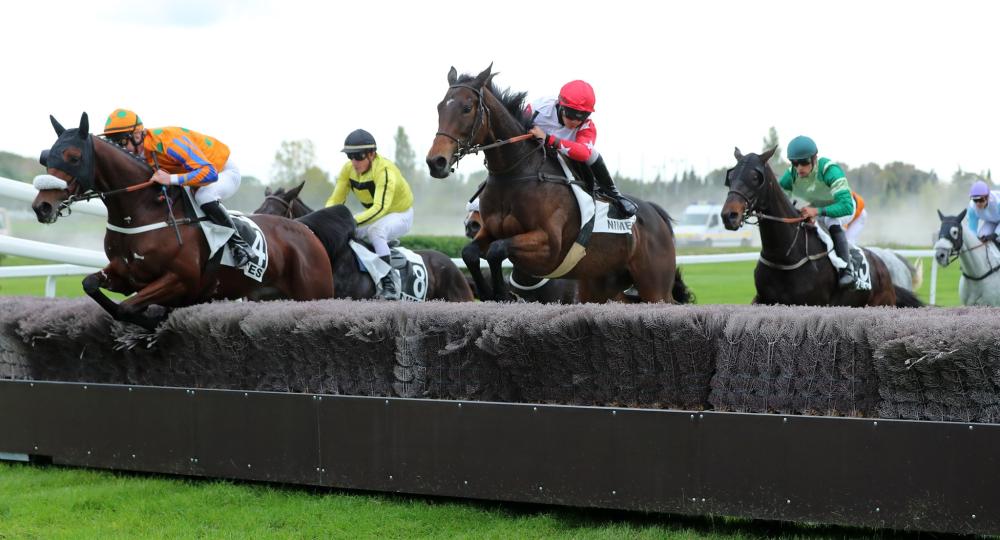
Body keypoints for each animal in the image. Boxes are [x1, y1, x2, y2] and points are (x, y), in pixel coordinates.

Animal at [32, 114, 336, 330]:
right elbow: (90, 284)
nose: (41, 207)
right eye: (47, 157)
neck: (143, 209)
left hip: (314, 293)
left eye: (74, 157)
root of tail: (306, 229)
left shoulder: (181, 279)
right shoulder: (126, 274)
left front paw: (152, 322)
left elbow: (126, 308)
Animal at [422, 64, 688, 304]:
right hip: (601, 286)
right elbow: (469, 252)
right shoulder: (489, 231)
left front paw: (501, 292)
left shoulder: (549, 245)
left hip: (655, 288)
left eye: (467, 108)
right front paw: (490, 291)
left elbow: (498, 250)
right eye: (439, 107)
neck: (516, 173)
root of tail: (655, 212)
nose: (436, 162)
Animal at [720, 148, 920, 308]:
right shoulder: (763, 300)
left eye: (755, 177)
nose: (729, 215)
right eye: (730, 177)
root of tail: (882, 265)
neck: (784, 256)